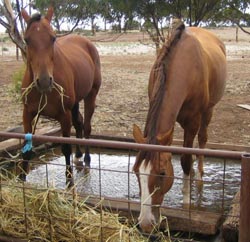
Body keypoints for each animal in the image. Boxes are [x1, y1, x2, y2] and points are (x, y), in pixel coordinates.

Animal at [19, 7, 101, 185]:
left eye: (53, 38)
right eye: (27, 40)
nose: (44, 81)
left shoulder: (64, 115)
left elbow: (66, 148)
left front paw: (69, 181)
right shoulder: (27, 113)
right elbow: (26, 148)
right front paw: (21, 179)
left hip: (90, 95)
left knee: (86, 127)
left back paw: (87, 158)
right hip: (75, 103)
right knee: (79, 123)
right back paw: (78, 155)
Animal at [133, 22, 227, 233]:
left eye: (162, 174)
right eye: (135, 172)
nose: (145, 223)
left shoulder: (192, 122)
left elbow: (185, 159)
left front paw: (186, 203)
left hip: (208, 111)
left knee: (202, 141)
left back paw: (198, 176)